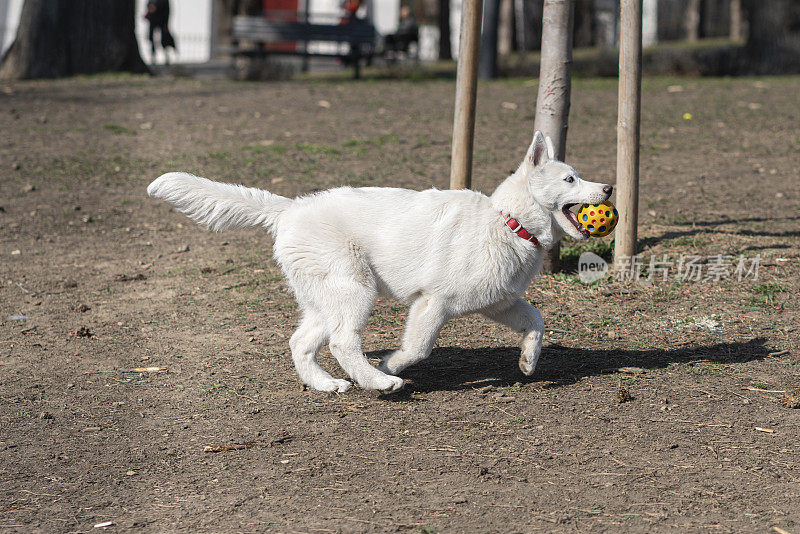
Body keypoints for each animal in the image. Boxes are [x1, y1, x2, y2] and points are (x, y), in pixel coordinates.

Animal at [148, 132, 612, 396]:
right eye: (570, 179)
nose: (608, 188)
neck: (508, 222)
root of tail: (290, 208)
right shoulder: (432, 302)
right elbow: (419, 347)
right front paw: (391, 365)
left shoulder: (500, 302)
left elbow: (536, 320)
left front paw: (529, 362)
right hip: (355, 290)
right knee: (342, 342)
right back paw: (377, 381)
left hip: (326, 299)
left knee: (301, 343)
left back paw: (326, 385)